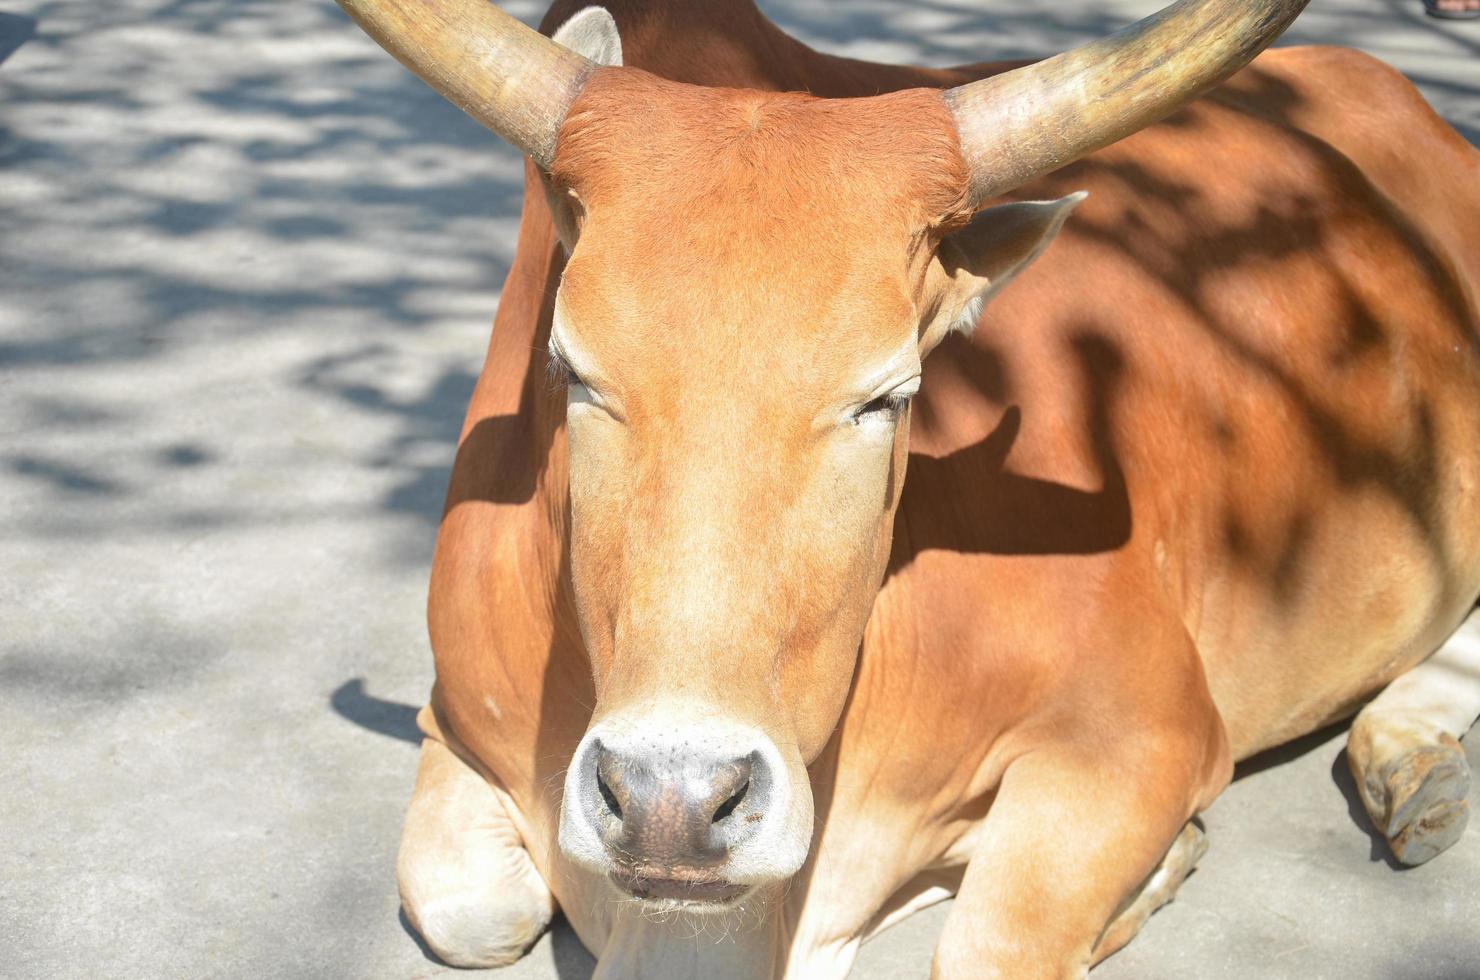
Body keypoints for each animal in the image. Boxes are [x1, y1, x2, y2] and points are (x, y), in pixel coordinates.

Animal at [333, 3, 1480, 977]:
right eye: (570, 369)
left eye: (890, 394)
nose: (672, 803)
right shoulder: (452, 720)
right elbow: (467, 911)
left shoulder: (1147, 731)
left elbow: (991, 943)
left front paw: (1157, 869)